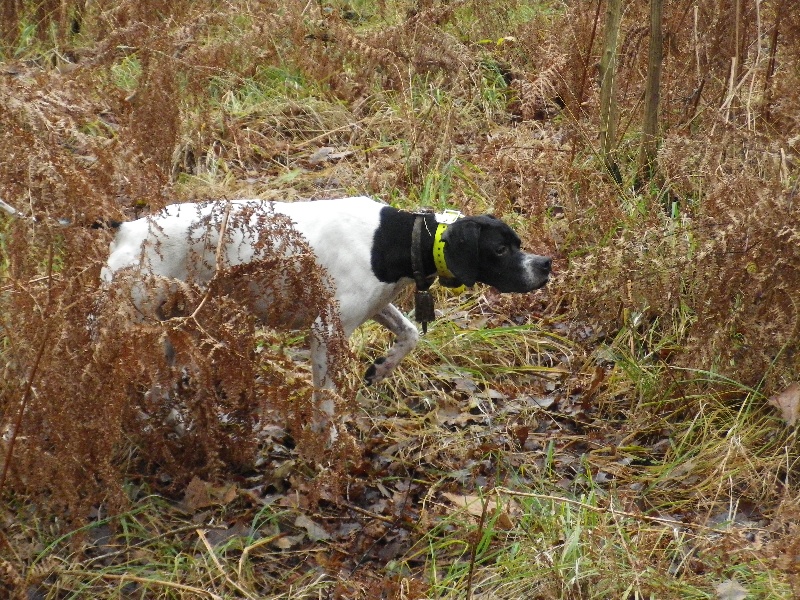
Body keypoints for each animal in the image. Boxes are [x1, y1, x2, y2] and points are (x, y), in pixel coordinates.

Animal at [100, 199, 552, 428]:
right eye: (500, 249)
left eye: (517, 242)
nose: (545, 264)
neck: (395, 239)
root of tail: (128, 227)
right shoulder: (325, 332)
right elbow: (326, 403)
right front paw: (328, 447)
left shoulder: (373, 306)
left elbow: (409, 334)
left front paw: (381, 368)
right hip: (132, 326)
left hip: (173, 329)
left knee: (160, 387)